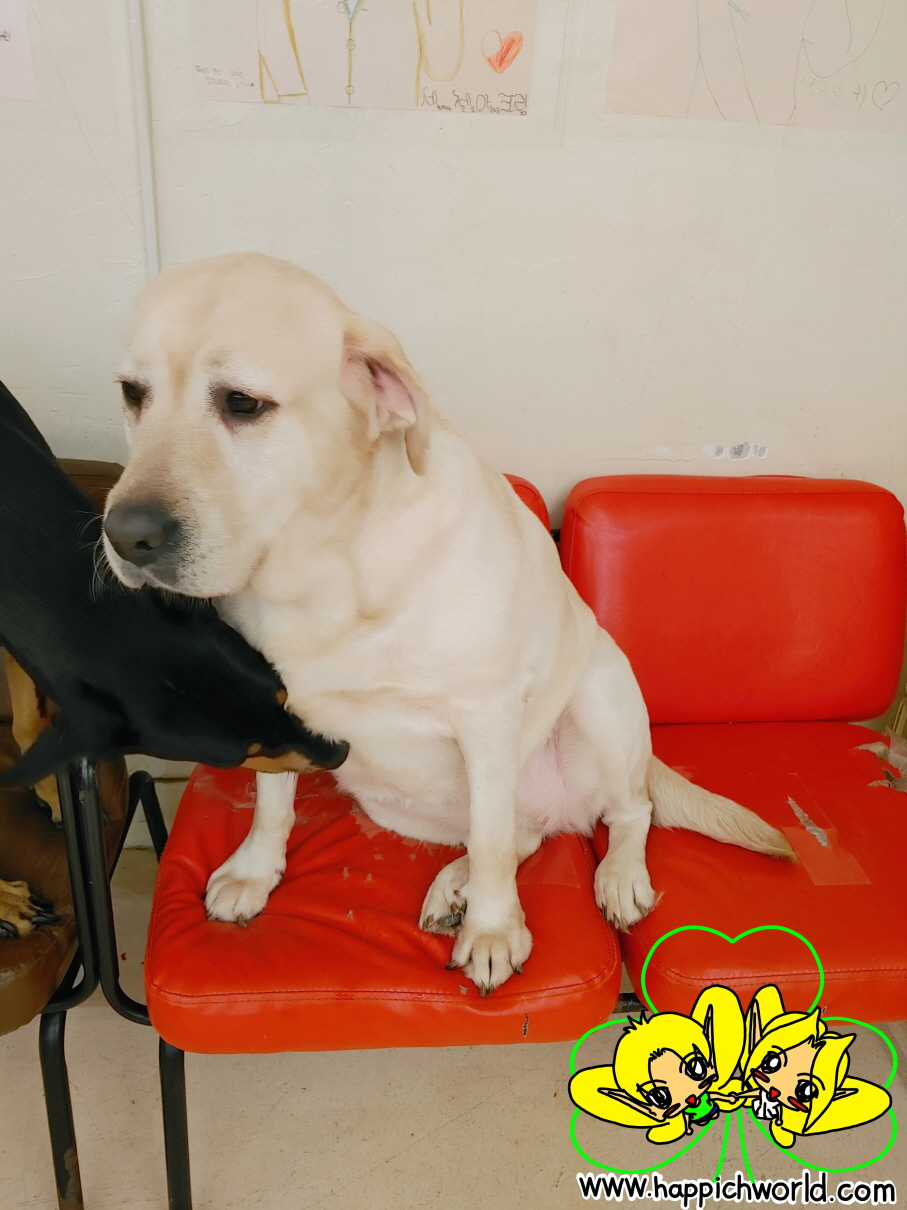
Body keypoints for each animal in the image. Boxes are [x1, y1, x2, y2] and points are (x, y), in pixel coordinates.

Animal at [102, 253, 792, 993]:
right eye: (132, 394)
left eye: (242, 403)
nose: (125, 535)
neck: (325, 569)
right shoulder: (271, 705)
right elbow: (272, 803)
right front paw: (256, 873)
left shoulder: (485, 716)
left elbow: (490, 837)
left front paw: (492, 931)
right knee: (524, 834)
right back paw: (457, 884)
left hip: (599, 694)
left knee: (620, 812)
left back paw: (613, 876)